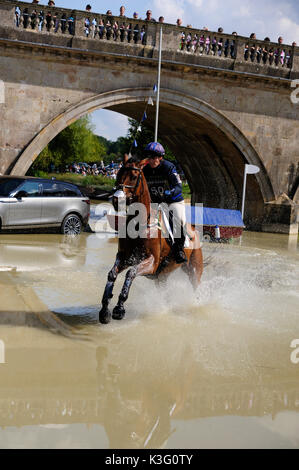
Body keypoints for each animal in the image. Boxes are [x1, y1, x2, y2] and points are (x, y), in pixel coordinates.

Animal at [99, 156, 204, 324]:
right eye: (119, 173)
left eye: (134, 176)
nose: (116, 200)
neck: (139, 224)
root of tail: (194, 231)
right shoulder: (125, 257)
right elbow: (112, 274)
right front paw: (104, 310)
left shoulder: (151, 262)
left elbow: (131, 273)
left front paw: (119, 309)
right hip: (162, 277)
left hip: (193, 269)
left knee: (195, 286)